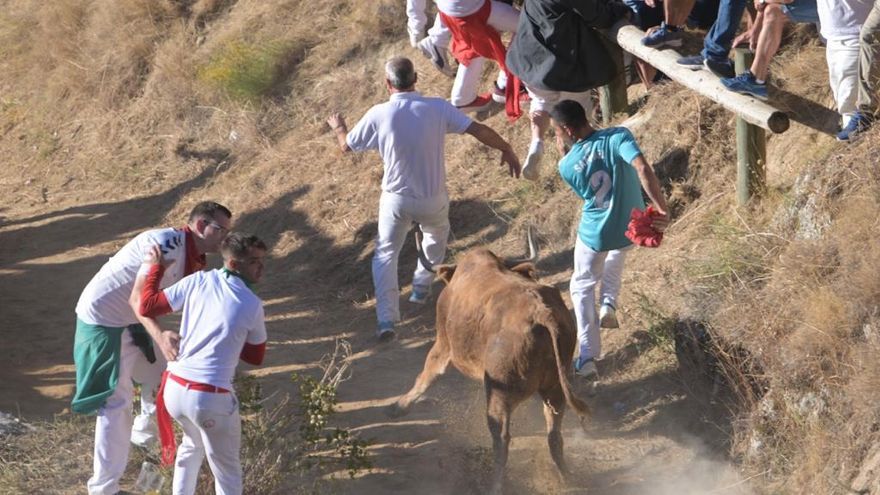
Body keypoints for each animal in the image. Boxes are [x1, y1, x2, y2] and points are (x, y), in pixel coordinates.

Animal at [386, 232, 588, 495]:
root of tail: (541, 313)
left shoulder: (443, 344)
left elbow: (428, 374)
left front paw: (399, 406)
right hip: (554, 389)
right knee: (554, 435)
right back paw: (566, 478)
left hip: (498, 393)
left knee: (502, 437)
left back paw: (495, 485)